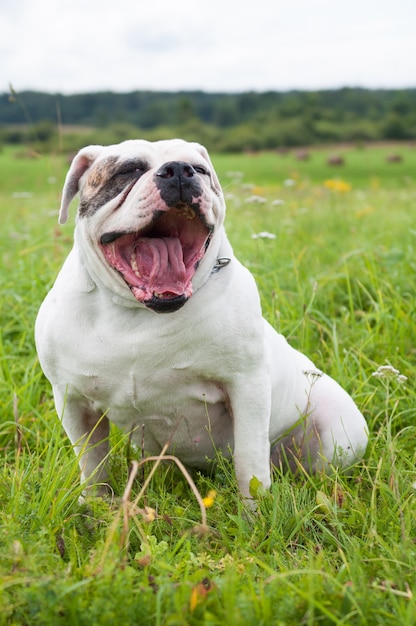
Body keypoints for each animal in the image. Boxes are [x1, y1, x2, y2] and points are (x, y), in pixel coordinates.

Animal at [35, 139, 368, 500]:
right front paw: (95, 504)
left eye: (201, 170)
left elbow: (250, 460)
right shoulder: (72, 399)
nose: (180, 170)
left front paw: (254, 510)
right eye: (129, 169)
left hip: (337, 434)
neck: (137, 315)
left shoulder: (247, 385)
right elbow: (92, 462)